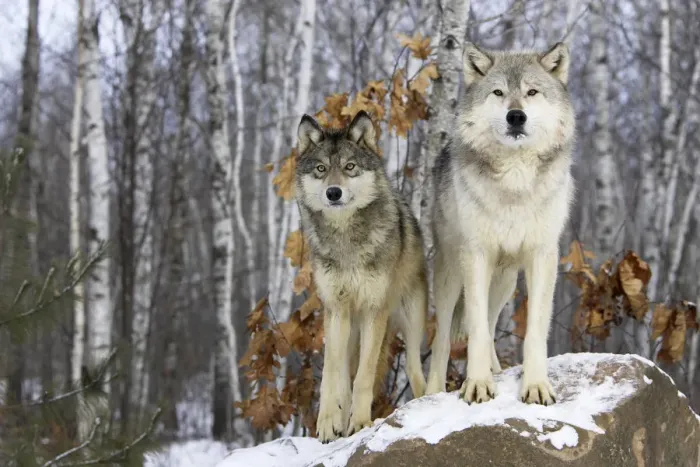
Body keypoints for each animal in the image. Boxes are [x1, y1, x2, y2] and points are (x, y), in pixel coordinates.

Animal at [295, 111, 428, 442]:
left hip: (411, 322)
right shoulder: (335, 310)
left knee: (415, 372)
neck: (346, 241)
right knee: (343, 376)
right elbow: (330, 376)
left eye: (350, 167)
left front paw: (360, 422)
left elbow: (365, 376)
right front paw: (327, 424)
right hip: (348, 330)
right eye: (321, 169)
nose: (333, 192)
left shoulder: (373, 310)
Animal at [425, 42, 576, 406]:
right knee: (444, 335)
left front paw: (535, 386)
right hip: (451, 274)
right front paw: (478, 384)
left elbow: (534, 329)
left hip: (505, 282)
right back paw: (432, 390)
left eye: (532, 92)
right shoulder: (476, 255)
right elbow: (476, 329)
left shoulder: (542, 255)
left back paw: (495, 368)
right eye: (498, 92)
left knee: (492, 323)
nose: (516, 116)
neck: (515, 178)